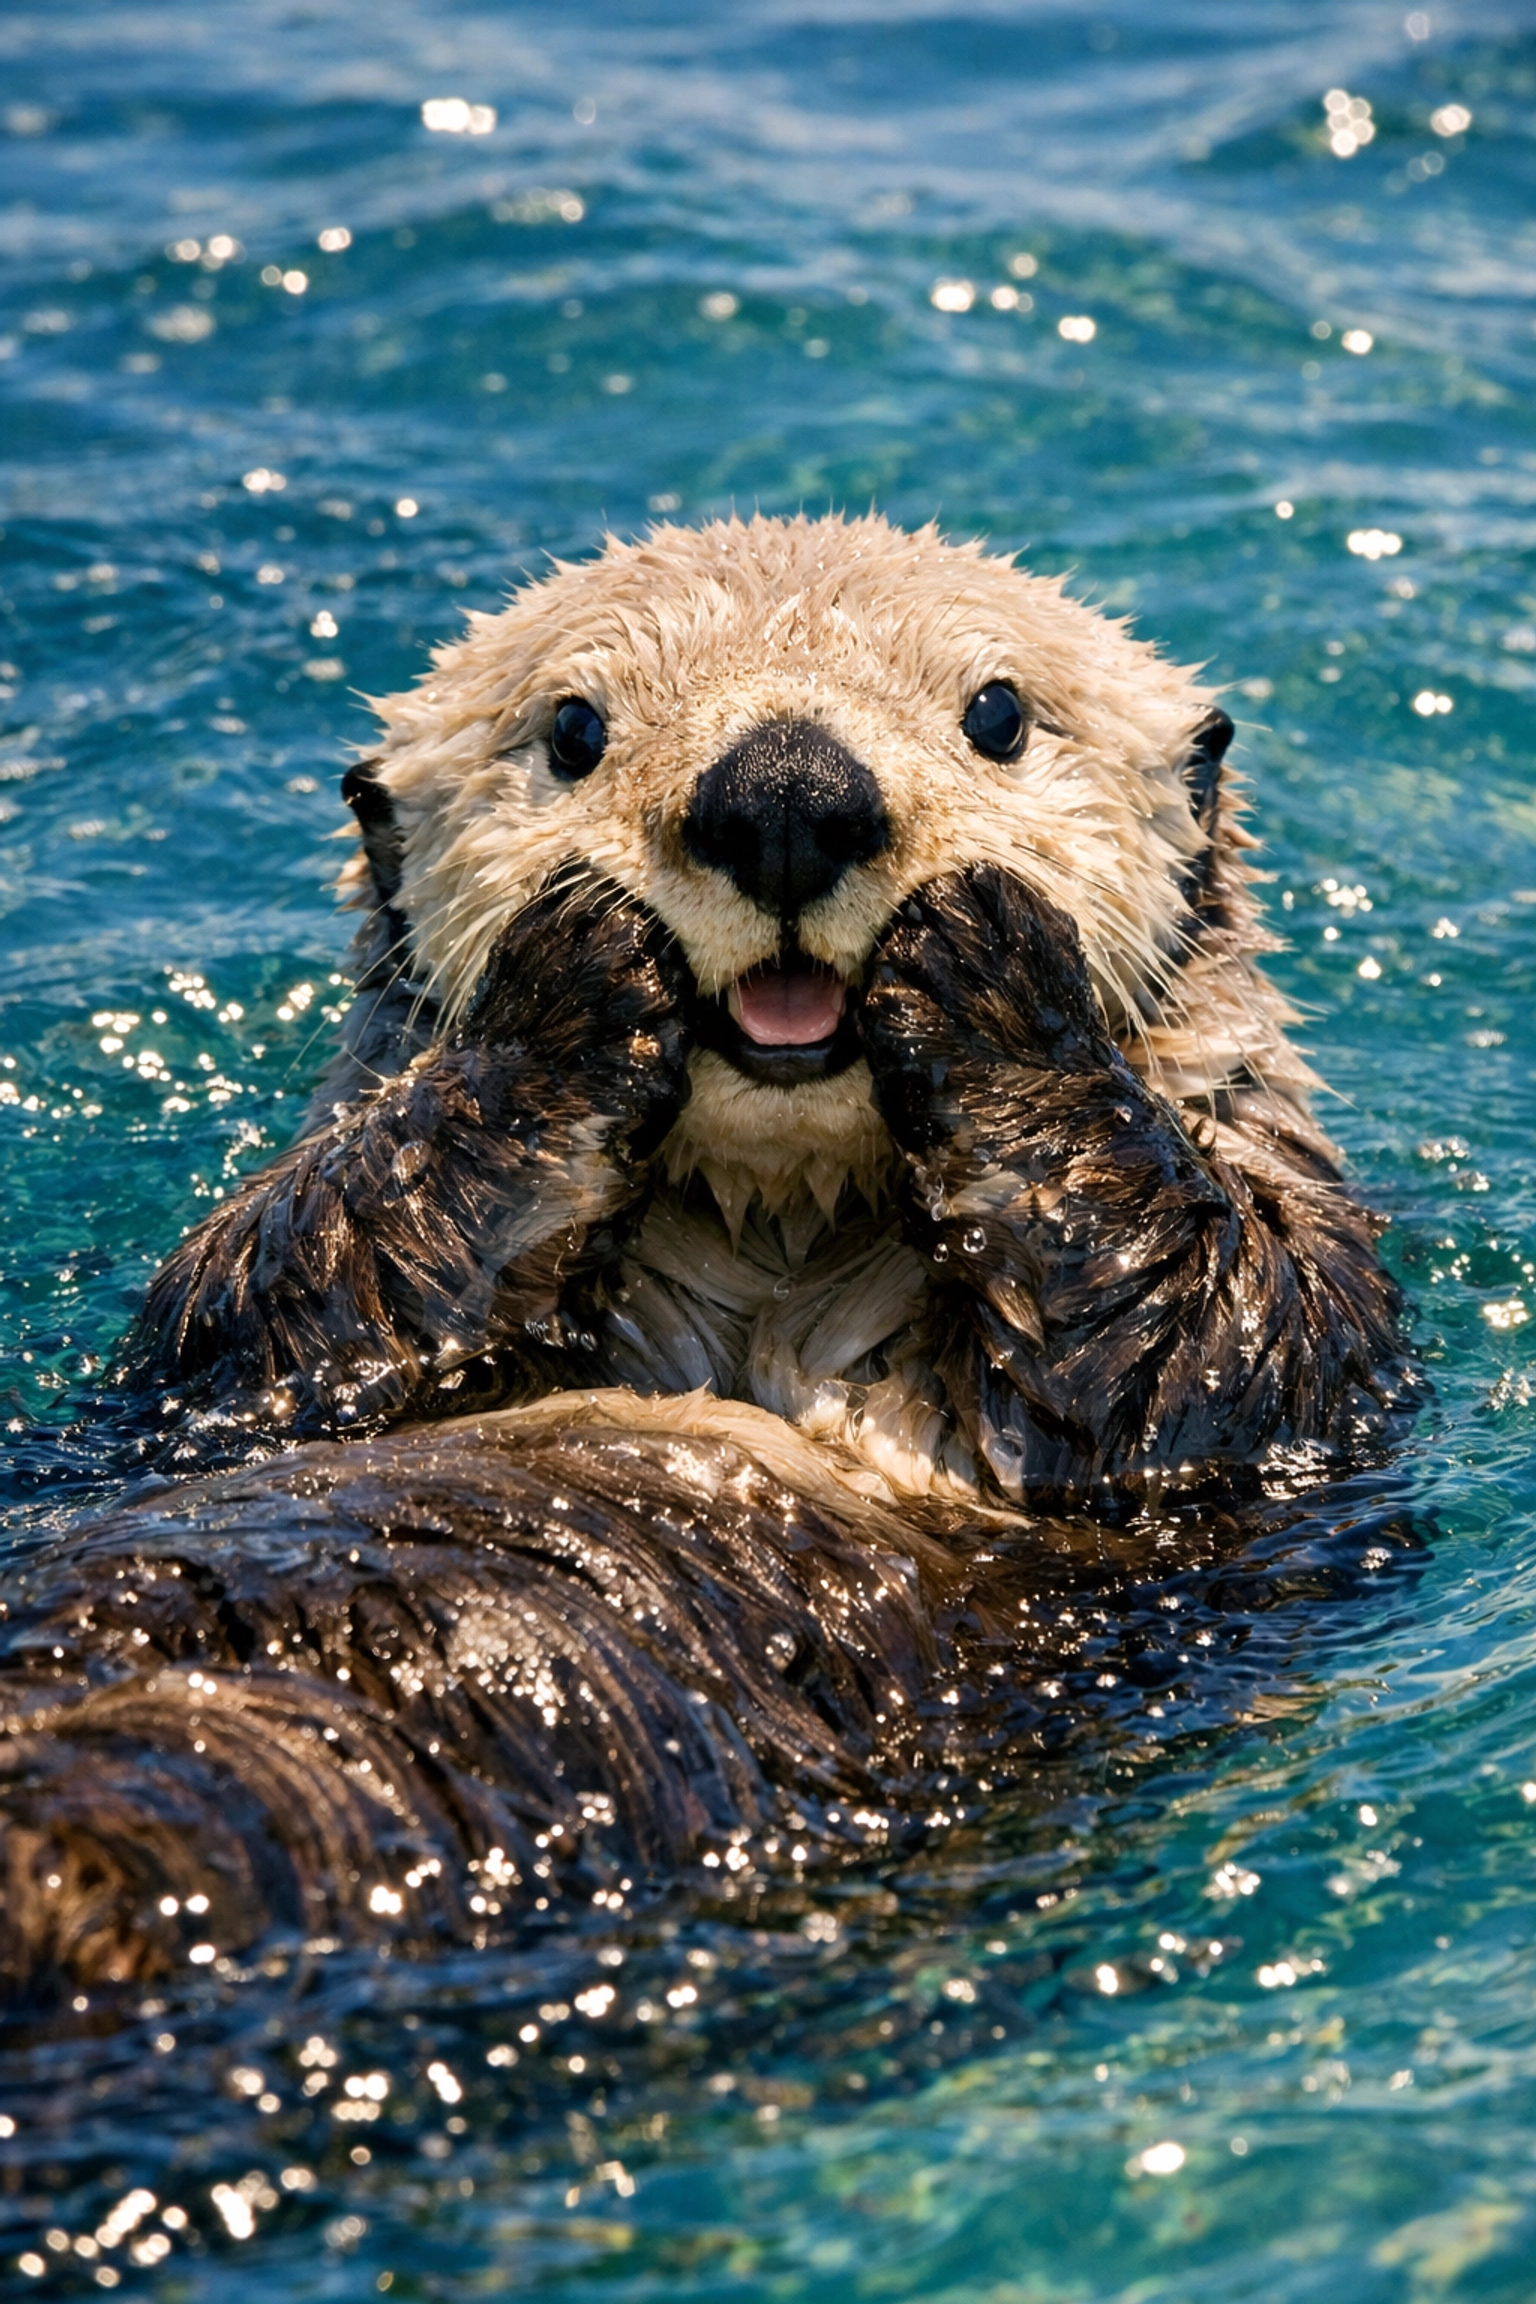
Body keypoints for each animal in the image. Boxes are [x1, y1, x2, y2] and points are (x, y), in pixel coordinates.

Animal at [0, 515, 1416, 1990]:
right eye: (574, 728)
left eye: (999, 713)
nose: (786, 793)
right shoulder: (214, 1377)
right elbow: (287, 1289)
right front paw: (569, 972)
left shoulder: (1293, 1383)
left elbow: (1208, 1338)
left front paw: (990, 953)